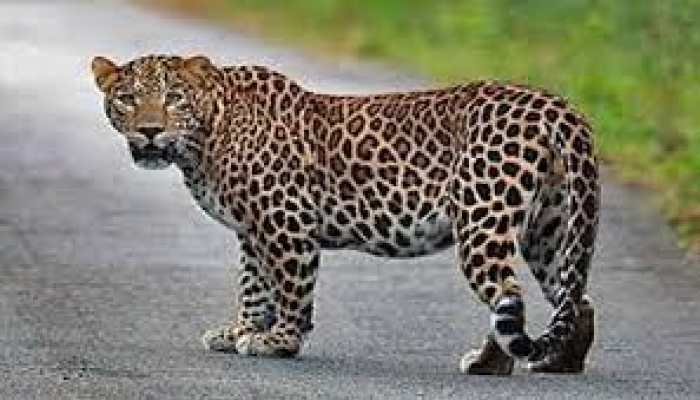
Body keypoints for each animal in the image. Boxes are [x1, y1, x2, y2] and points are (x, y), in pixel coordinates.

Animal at [91, 54, 599, 374]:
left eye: (173, 98)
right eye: (127, 99)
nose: (149, 131)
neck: (208, 134)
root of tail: (555, 104)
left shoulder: (285, 221)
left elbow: (291, 289)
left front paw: (280, 342)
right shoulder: (252, 232)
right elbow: (253, 287)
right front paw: (240, 331)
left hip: (483, 220)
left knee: (508, 295)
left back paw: (487, 365)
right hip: (550, 227)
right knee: (574, 298)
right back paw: (558, 363)